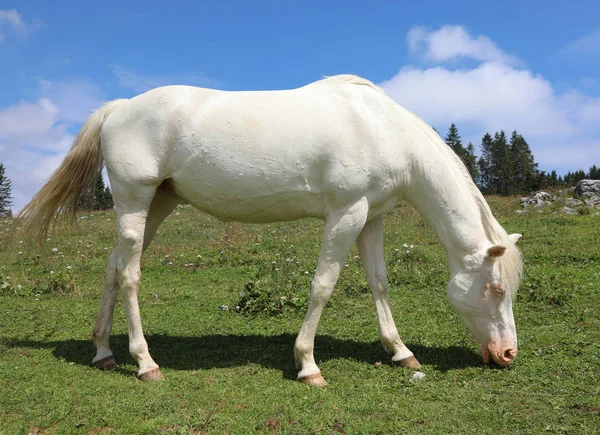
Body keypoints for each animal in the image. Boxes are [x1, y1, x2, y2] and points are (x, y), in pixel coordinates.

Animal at [18, 76, 524, 388]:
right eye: (496, 289)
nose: (507, 356)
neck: (382, 128)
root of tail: (119, 109)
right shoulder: (346, 213)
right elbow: (323, 285)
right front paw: (308, 365)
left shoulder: (372, 217)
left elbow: (379, 283)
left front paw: (400, 352)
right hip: (133, 202)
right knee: (128, 276)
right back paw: (145, 363)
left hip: (156, 205)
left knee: (111, 268)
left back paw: (103, 351)